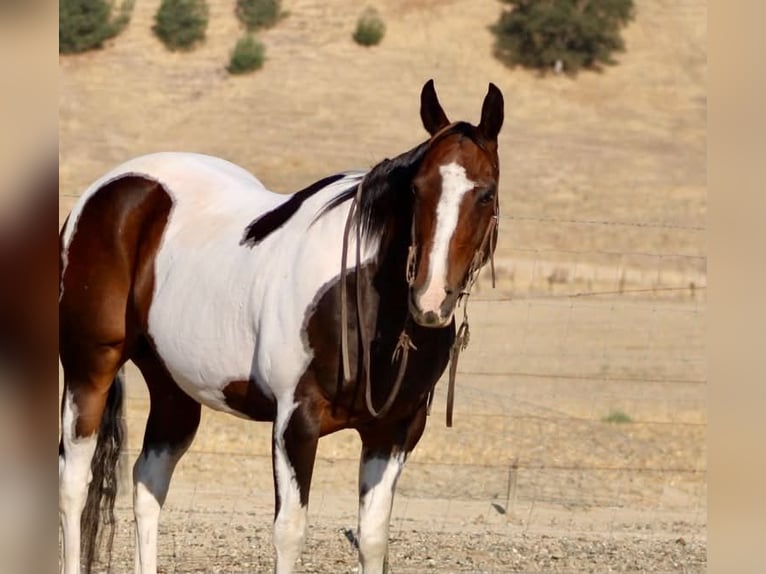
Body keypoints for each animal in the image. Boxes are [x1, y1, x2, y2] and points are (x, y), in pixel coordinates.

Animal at [58, 79, 504, 574]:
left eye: (486, 193)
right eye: (418, 190)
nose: (430, 299)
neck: (364, 303)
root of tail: (109, 190)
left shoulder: (395, 431)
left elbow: (373, 538)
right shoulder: (295, 422)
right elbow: (290, 533)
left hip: (173, 387)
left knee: (147, 482)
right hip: (88, 371)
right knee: (74, 483)